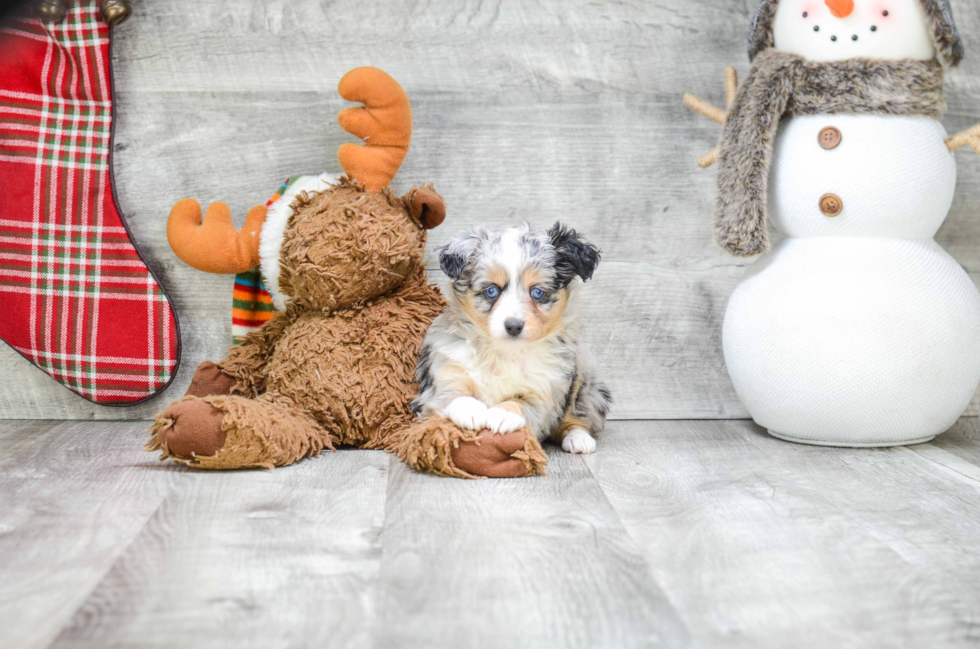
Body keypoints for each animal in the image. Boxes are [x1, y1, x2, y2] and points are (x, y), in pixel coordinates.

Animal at [410, 223, 608, 456]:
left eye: (537, 292)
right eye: (491, 291)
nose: (513, 326)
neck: (504, 351)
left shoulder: (545, 391)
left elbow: (521, 402)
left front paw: (502, 414)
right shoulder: (443, 374)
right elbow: (452, 392)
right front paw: (470, 409)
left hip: (585, 382)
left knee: (578, 417)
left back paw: (579, 439)